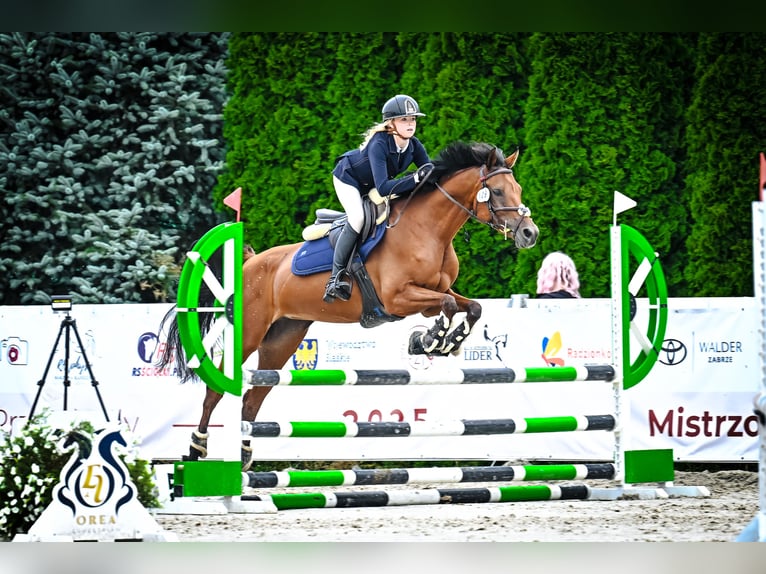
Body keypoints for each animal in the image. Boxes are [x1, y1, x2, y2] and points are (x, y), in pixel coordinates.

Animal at [157, 141, 539, 469]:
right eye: (499, 192)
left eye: (519, 189)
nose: (529, 234)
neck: (429, 230)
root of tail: (249, 263)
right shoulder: (399, 297)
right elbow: (446, 305)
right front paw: (430, 341)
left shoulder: (432, 296)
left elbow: (469, 307)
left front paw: (442, 342)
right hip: (250, 333)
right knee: (215, 390)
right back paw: (197, 448)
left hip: (284, 337)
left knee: (253, 397)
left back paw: (246, 455)